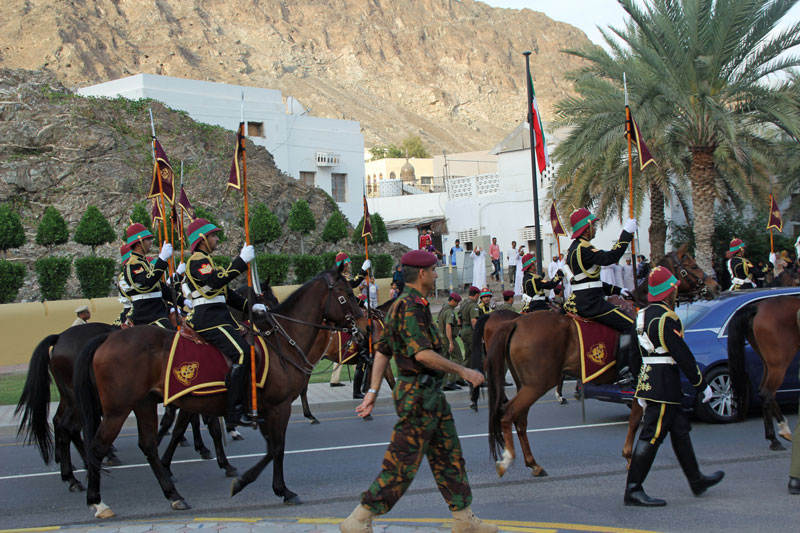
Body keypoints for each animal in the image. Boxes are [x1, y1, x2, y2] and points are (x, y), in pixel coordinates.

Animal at [72, 268, 366, 516]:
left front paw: (251, 479)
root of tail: (107, 338)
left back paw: (173, 494)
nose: (364, 330)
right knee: (96, 445)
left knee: (147, 446)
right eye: (347, 294)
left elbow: (269, 447)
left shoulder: (260, 409)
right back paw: (96, 500)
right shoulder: (277, 407)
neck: (280, 342)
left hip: (142, 403)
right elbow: (277, 448)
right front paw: (272, 488)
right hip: (117, 410)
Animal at [728, 296, 796, 448]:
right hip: (778, 364)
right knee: (767, 393)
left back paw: (783, 430)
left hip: (767, 362)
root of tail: (757, 307)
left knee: (762, 390)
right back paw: (774, 439)